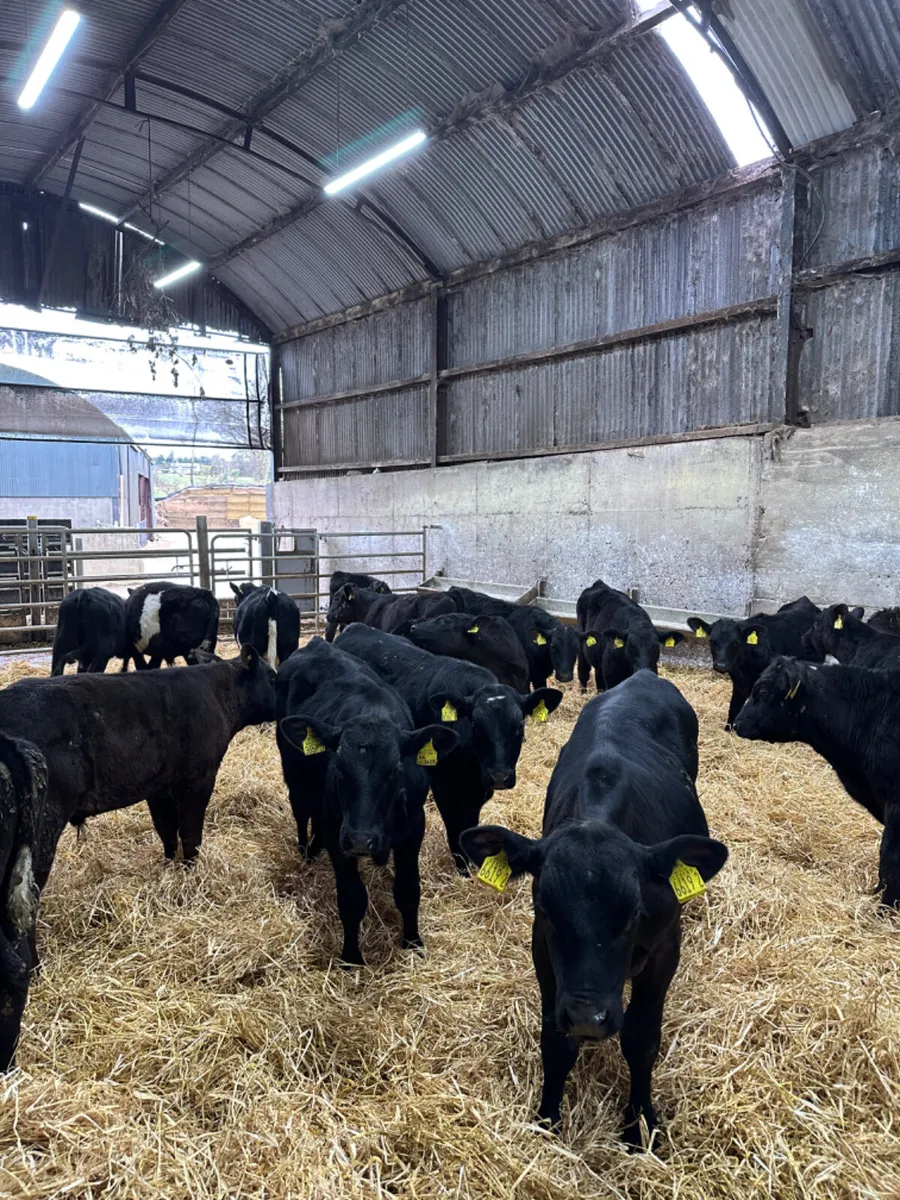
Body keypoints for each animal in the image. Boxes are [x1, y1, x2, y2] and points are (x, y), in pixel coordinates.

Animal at [0, 647, 275, 898]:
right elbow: (190, 832)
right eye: (272, 677)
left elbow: (167, 831)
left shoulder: (159, 787)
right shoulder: (199, 778)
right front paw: (191, 873)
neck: (218, 694)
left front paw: (170, 870)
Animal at [276, 639, 457, 964]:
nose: (361, 841)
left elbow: (408, 889)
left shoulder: (414, 827)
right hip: (295, 778)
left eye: (396, 770)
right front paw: (351, 956)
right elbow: (351, 898)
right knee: (301, 811)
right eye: (338, 767)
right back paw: (306, 852)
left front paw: (412, 942)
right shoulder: (339, 833)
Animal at [336, 623, 562, 870]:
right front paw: (463, 868)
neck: (472, 767)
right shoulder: (443, 786)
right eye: (475, 724)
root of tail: (356, 627)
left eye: (520, 725)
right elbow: (455, 831)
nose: (500, 777)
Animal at [460, 671, 727, 1148]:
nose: (587, 1017)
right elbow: (554, 1038)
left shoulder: (665, 948)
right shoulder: (544, 952)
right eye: (545, 907)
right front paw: (547, 1120)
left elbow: (641, 1038)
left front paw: (640, 1127)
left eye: (635, 912)